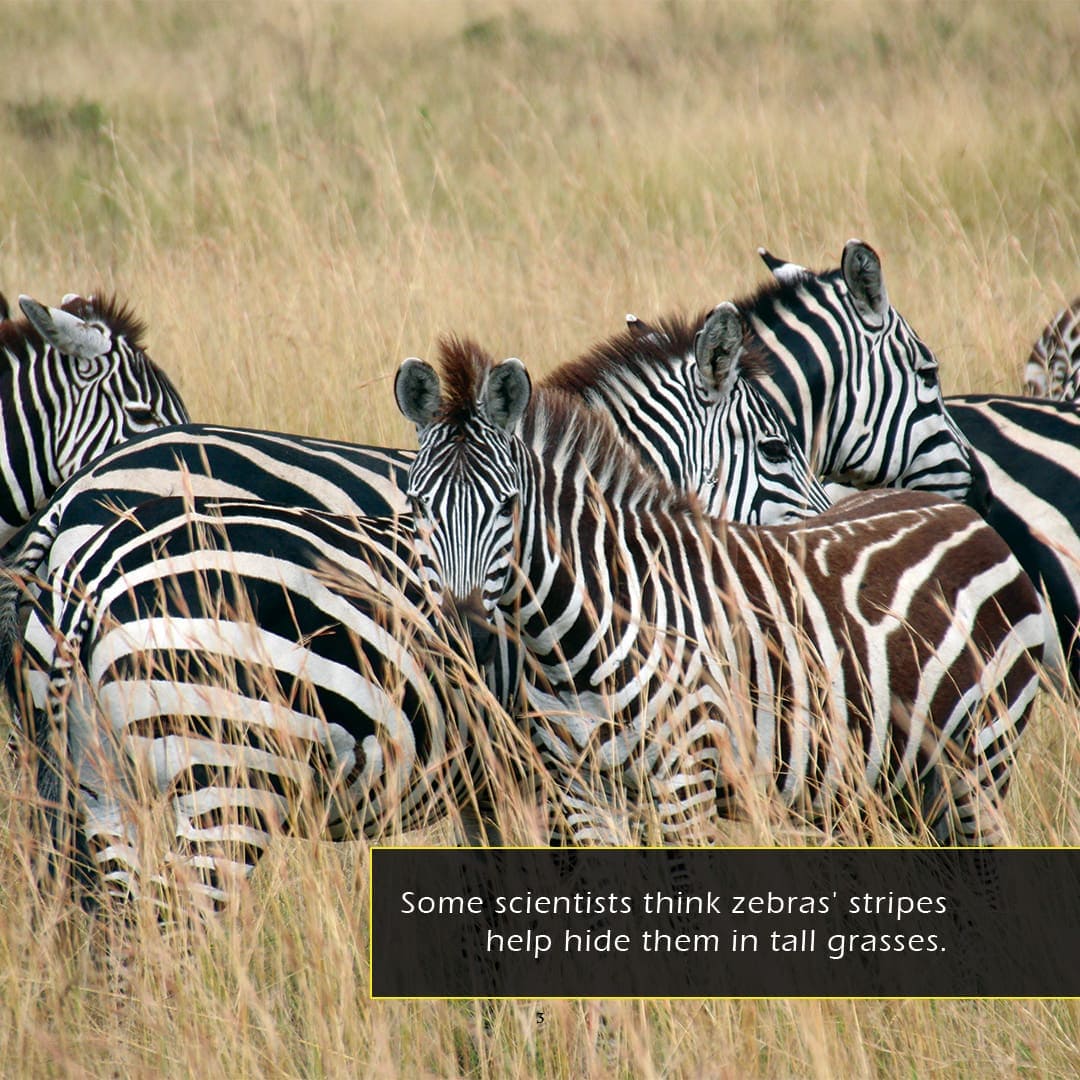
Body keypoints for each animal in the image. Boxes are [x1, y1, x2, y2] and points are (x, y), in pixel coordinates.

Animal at [397, 341, 1062, 846]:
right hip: (901, 782)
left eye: (507, 508)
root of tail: (963, 513)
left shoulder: (686, 782)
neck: (570, 647)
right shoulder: (584, 795)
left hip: (980, 760)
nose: (466, 638)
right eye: (418, 507)